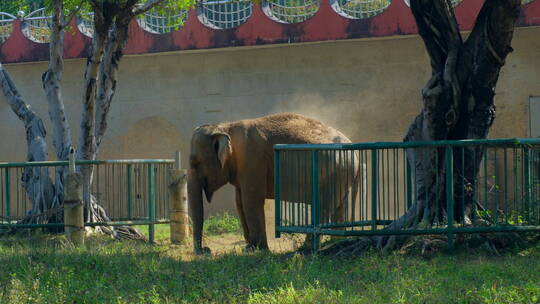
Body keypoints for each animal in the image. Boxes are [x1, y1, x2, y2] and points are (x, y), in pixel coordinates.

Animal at [188, 112, 360, 254]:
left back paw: (306, 248)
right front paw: (249, 248)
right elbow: (239, 202)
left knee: (323, 208)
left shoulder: (252, 160)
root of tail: (355, 151)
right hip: (341, 175)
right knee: (340, 208)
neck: (225, 127)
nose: (206, 250)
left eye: (196, 163)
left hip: (334, 174)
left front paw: (259, 250)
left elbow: (251, 200)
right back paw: (336, 242)